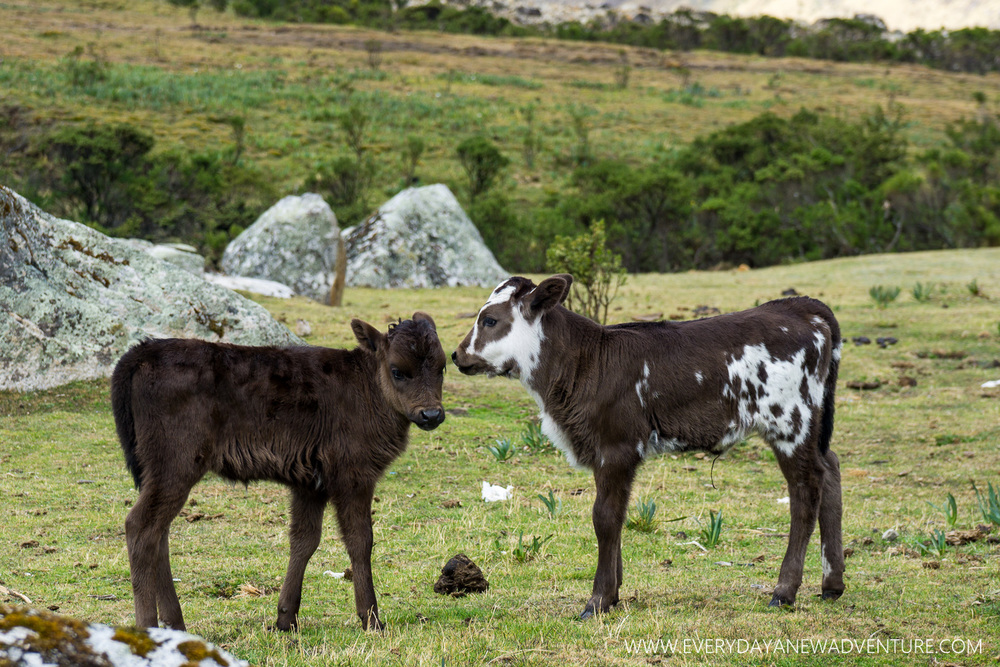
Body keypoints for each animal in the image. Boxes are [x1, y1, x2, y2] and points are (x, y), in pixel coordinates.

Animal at [108, 314, 446, 632]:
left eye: (442, 367)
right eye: (397, 370)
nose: (431, 414)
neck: (367, 387)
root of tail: (141, 352)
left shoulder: (310, 484)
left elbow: (304, 540)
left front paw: (285, 618)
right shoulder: (354, 475)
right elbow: (360, 540)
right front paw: (372, 619)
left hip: (159, 472)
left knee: (159, 533)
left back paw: (176, 624)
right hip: (176, 465)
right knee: (140, 526)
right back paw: (148, 626)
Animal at [454, 274, 844, 620]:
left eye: (490, 320)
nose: (457, 355)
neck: (587, 361)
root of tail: (799, 307)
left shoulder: (617, 447)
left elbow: (604, 517)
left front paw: (597, 600)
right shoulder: (606, 452)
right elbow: (616, 515)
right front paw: (613, 593)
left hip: (790, 421)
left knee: (806, 489)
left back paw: (785, 591)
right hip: (812, 424)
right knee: (831, 469)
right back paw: (832, 584)